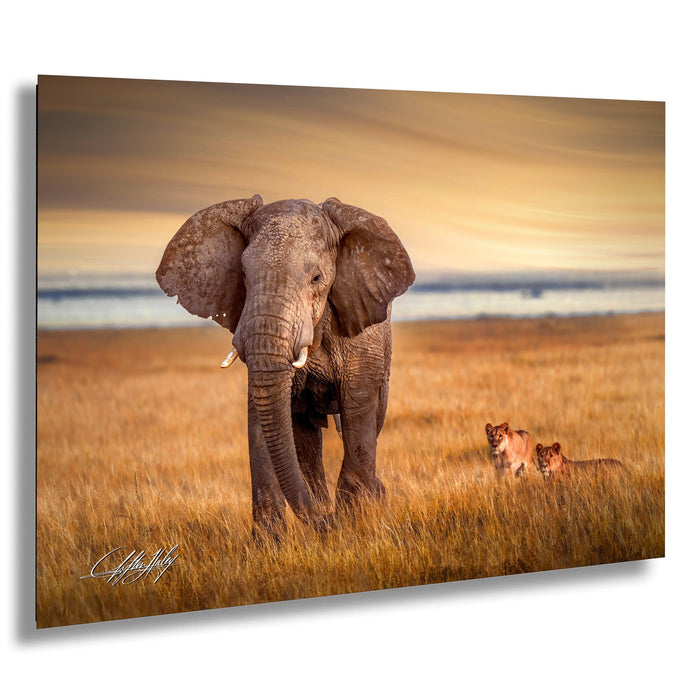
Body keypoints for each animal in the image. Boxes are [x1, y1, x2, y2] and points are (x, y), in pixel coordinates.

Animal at [156, 195, 415, 533]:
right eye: (243, 275)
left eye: (316, 278)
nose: (327, 524)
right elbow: (262, 415)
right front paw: (272, 541)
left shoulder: (361, 340)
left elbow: (357, 411)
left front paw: (357, 520)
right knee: (304, 438)